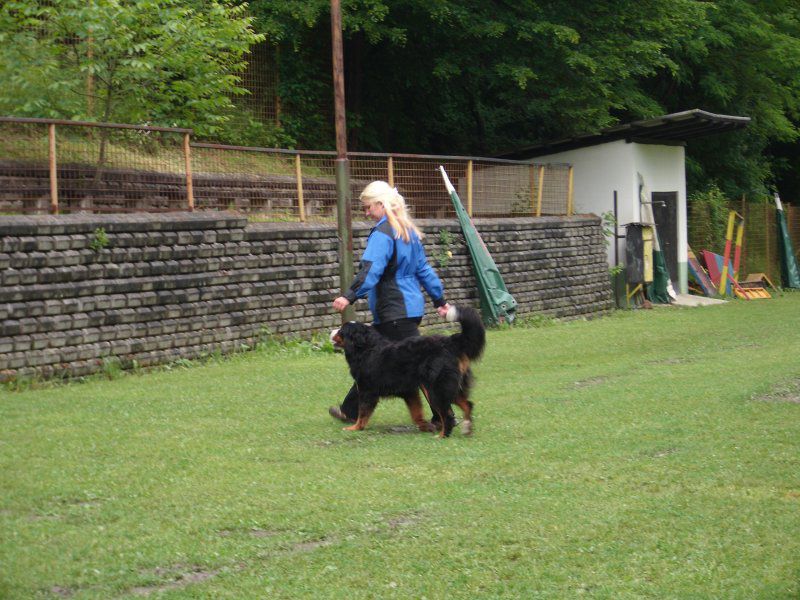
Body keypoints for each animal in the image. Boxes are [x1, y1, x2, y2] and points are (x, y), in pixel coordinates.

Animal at [330, 308, 484, 434]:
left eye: (341, 331)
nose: (331, 331)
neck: (365, 349)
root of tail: (449, 342)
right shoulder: (409, 391)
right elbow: (416, 412)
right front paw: (425, 426)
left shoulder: (366, 390)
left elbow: (363, 413)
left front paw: (355, 427)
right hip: (450, 386)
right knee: (467, 404)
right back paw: (466, 428)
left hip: (435, 387)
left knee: (447, 413)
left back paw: (443, 434)